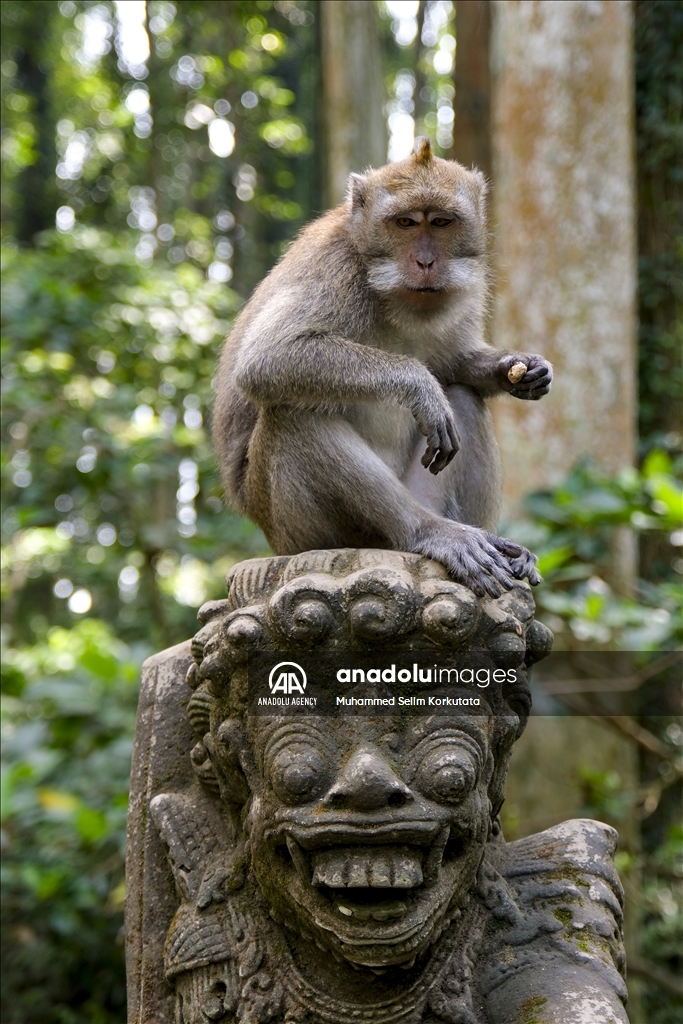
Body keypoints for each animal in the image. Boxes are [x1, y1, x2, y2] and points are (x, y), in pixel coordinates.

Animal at [215, 139, 557, 598]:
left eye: (442, 222)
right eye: (405, 223)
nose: (427, 262)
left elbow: (455, 364)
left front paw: (522, 370)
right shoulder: (334, 269)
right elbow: (268, 358)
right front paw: (420, 387)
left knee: (464, 399)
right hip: (300, 530)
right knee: (292, 415)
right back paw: (430, 533)